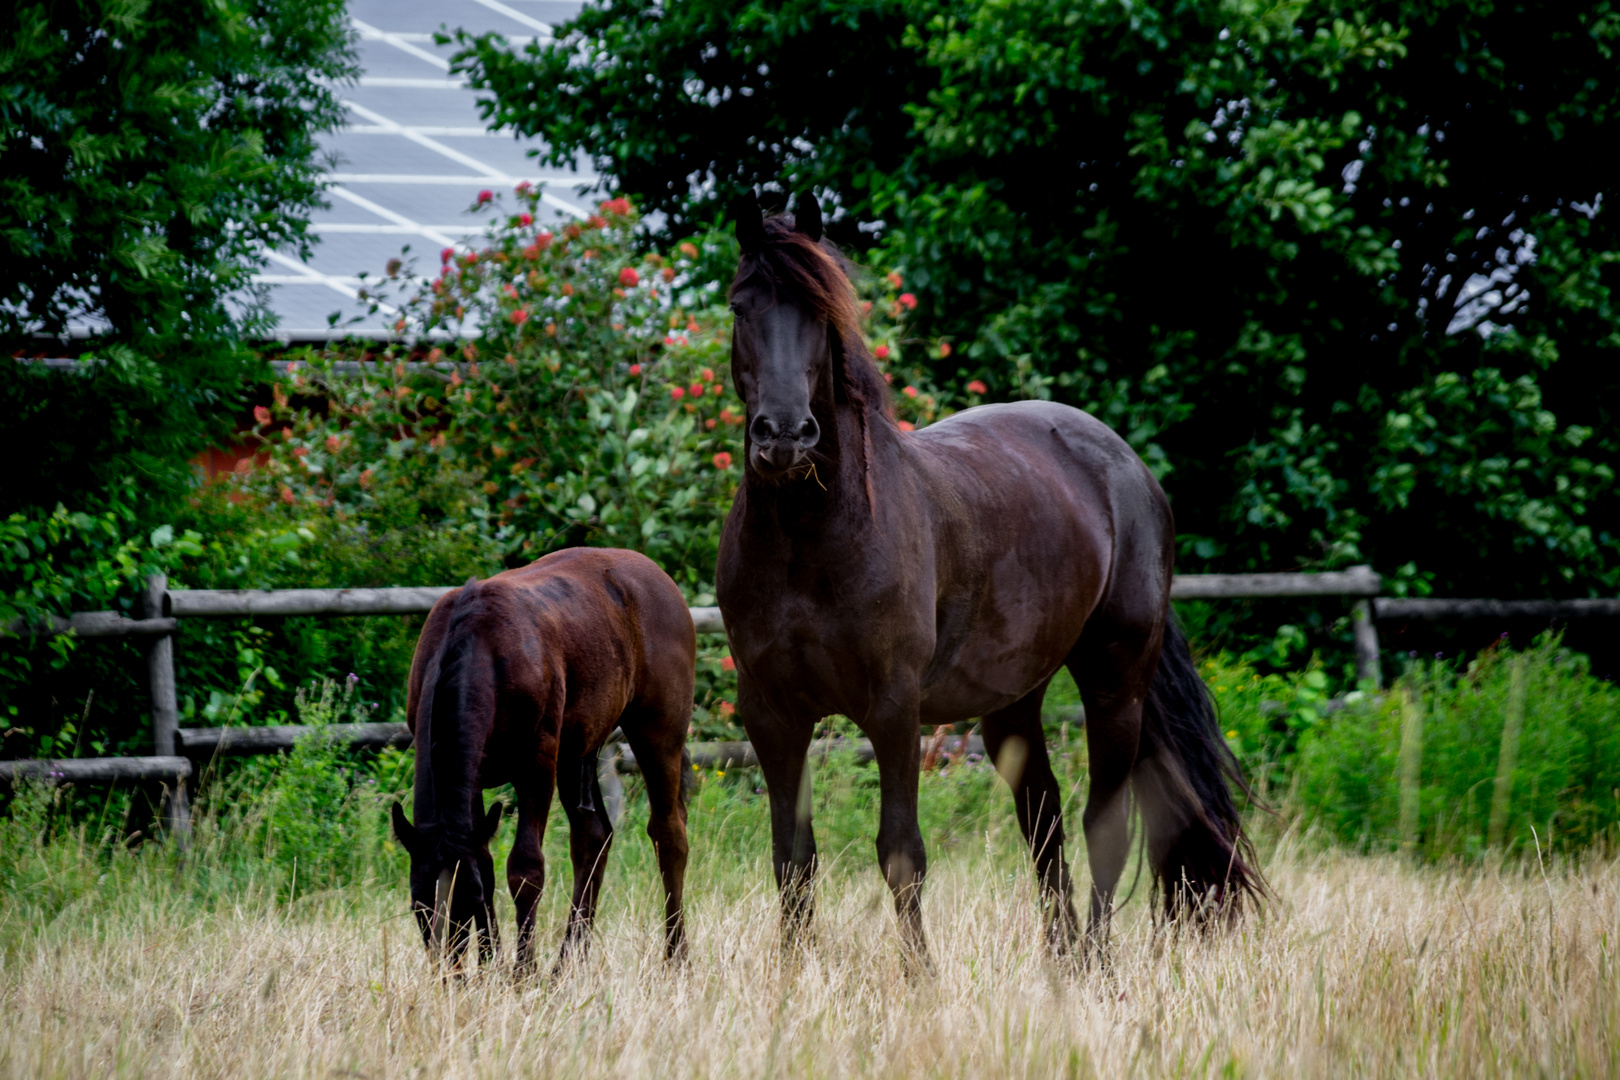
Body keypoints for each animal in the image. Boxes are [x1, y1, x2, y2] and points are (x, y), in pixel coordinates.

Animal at [396, 544, 696, 977]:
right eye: (418, 904)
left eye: (467, 899)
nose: (450, 976)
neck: (476, 647)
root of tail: (656, 574)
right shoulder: (472, 780)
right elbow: (485, 860)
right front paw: (491, 963)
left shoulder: (537, 762)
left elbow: (525, 868)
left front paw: (522, 972)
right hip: (579, 749)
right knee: (593, 836)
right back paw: (567, 962)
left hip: (658, 733)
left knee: (668, 834)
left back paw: (676, 957)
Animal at [719, 196, 1263, 971]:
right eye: (741, 307)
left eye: (820, 313)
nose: (785, 436)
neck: (810, 536)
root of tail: (1129, 468)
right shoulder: (771, 714)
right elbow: (792, 858)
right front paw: (792, 979)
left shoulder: (893, 709)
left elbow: (900, 853)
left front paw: (921, 980)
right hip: (1014, 701)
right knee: (1045, 819)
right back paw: (1061, 962)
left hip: (1115, 682)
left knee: (1104, 824)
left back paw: (1095, 964)